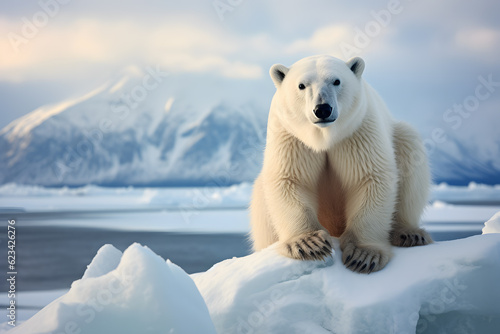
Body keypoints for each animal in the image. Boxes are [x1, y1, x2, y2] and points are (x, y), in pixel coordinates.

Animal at [252, 55, 432, 274]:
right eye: (301, 85)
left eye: (336, 81)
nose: (322, 109)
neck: (325, 137)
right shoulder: (291, 135)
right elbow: (289, 179)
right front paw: (309, 244)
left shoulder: (358, 130)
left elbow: (370, 178)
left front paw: (363, 255)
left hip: (400, 138)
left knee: (409, 146)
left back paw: (409, 233)